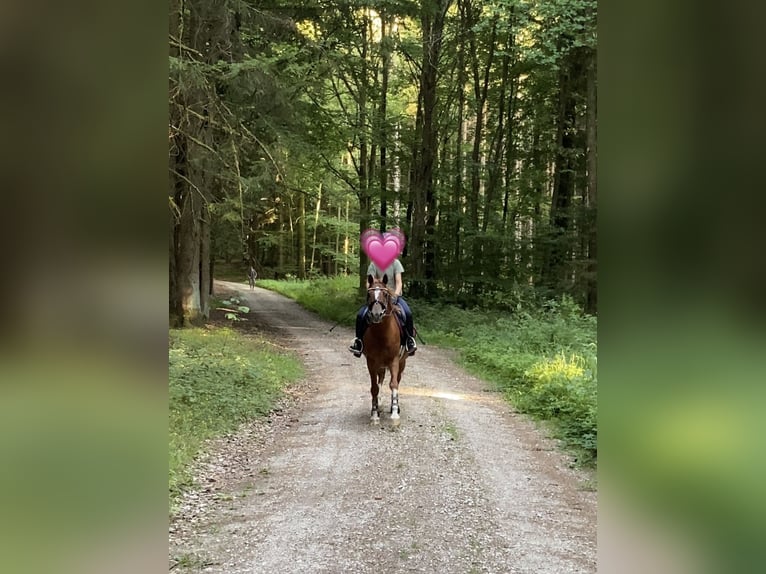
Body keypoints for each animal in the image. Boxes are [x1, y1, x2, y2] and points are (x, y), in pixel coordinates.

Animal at [361, 274, 407, 424]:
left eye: (385, 294)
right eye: (369, 294)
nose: (376, 314)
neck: (381, 334)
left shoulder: (394, 360)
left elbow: (393, 384)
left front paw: (395, 414)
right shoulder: (371, 361)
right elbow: (374, 388)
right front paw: (375, 413)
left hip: (402, 362)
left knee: (397, 380)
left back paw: (394, 407)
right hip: (379, 364)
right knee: (380, 379)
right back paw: (379, 404)